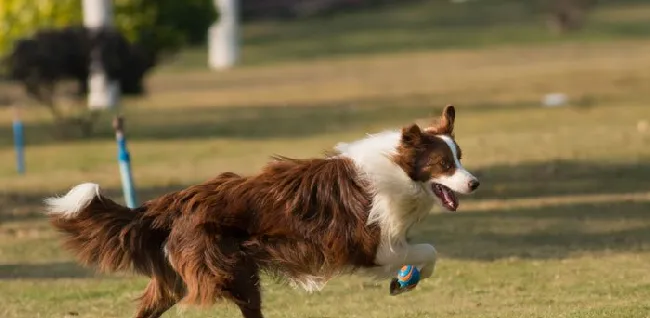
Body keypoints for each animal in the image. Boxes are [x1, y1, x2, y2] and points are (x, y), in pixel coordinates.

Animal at [44, 105, 476, 318]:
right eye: (443, 165)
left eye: (461, 157)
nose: (474, 183)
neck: (398, 170)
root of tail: (176, 201)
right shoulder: (370, 245)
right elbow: (429, 251)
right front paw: (406, 279)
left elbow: (422, 253)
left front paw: (405, 280)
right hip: (231, 270)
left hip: (183, 278)